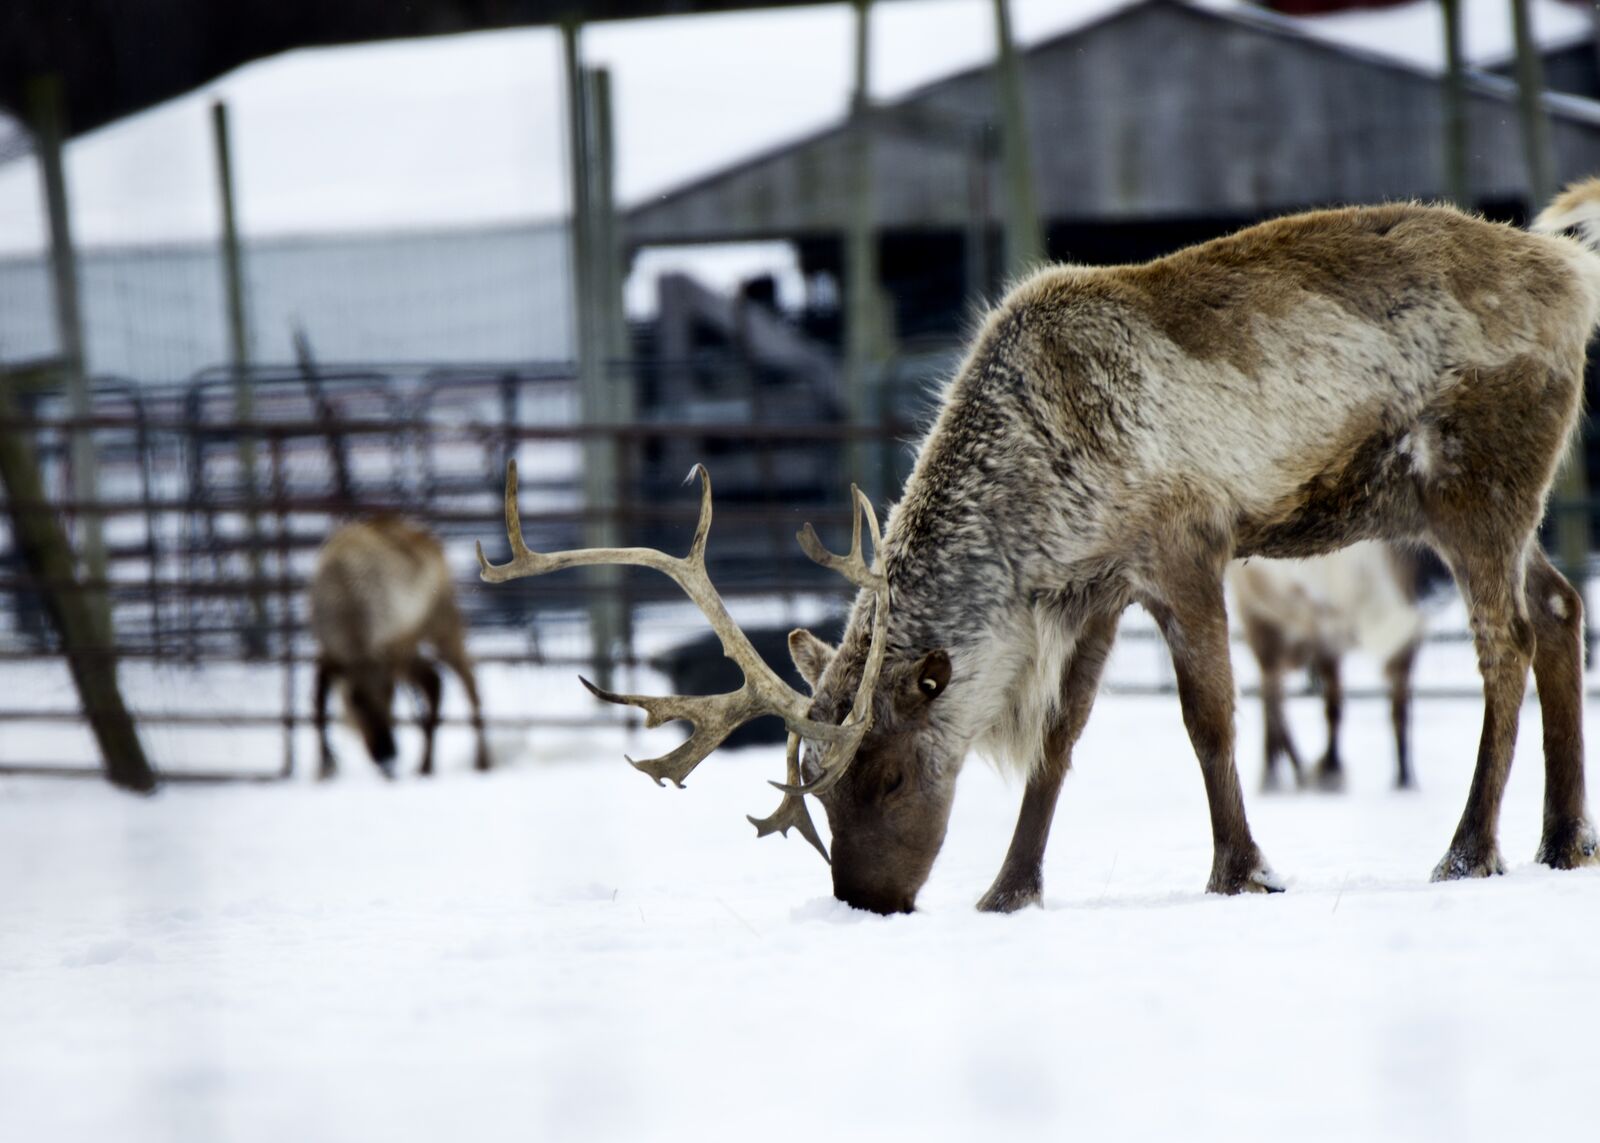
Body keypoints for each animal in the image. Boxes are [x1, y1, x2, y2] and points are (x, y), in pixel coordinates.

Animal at [311, 516, 489, 779]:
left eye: (391, 694)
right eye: (355, 700)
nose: (387, 755)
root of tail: (431, 540)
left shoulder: (390, 648)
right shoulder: (326, 650)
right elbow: (318, 702)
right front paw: (326, 764)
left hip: (441, 621)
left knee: (469, 680)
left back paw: (482, 761)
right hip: (411, 644)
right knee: (433, 680)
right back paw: (425, 765)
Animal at [1230, 543, 1428, 792]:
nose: (1435, 584)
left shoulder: (1410, 635)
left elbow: (1401, 710)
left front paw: (1404, 779)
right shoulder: (1326, 626)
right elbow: (1333, 707)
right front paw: (1331, 768)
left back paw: (1298, 769)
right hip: (1263, 620)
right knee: (1272, 692)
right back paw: (1275, 775)